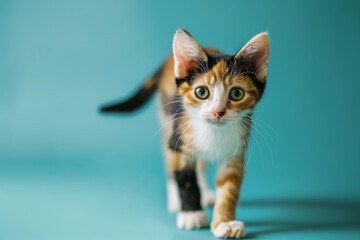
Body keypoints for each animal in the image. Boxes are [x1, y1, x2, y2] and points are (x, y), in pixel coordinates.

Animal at [100, 29, 268, 239]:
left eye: (237, 93)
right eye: (201, 92)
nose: (218, 112)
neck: (213, 133)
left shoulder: (236, 151)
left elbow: (229, 187)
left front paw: (225, 222)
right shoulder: (179, 139)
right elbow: (185, 178)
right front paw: (191, 214)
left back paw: (206, 193)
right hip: (168, 121)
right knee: (170, 161)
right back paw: (176, 201)